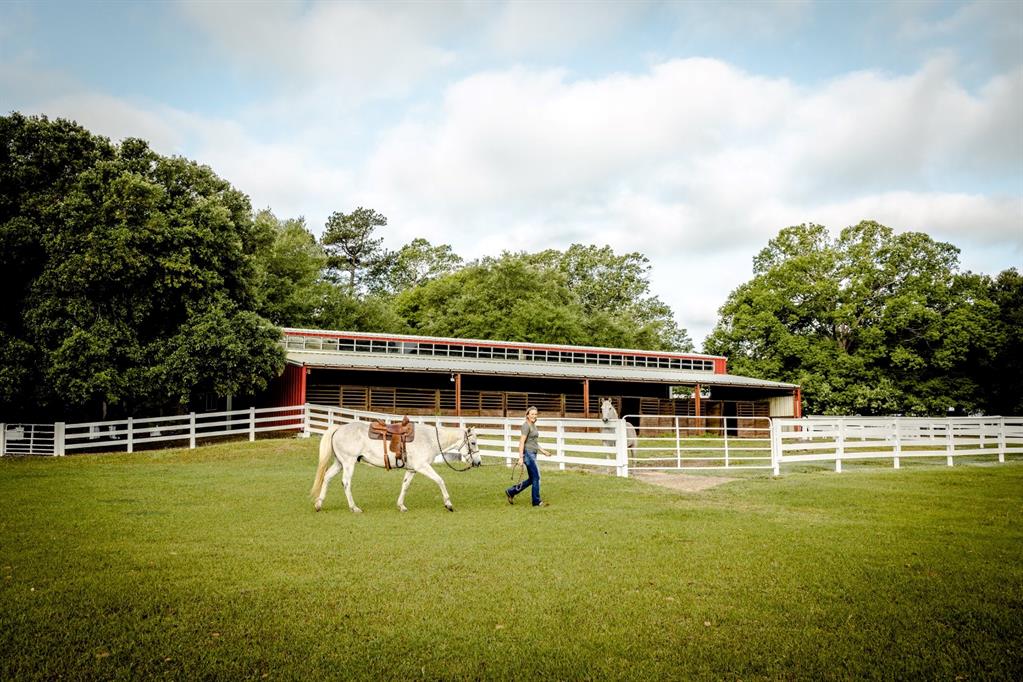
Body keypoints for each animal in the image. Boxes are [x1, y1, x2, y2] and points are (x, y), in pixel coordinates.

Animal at [308, 421, 480, 511]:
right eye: (473, 443)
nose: (478, 462)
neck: (429, 439)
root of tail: (338, 428)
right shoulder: (422, 466)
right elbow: (440, 480)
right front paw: (448, 504)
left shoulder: (412, 469)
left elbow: (405, 486)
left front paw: (401, 505)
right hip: (348, 463)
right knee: (346, 483)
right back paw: (354, 507)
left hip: (340, 463)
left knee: (327, 477)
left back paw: (318, 504)